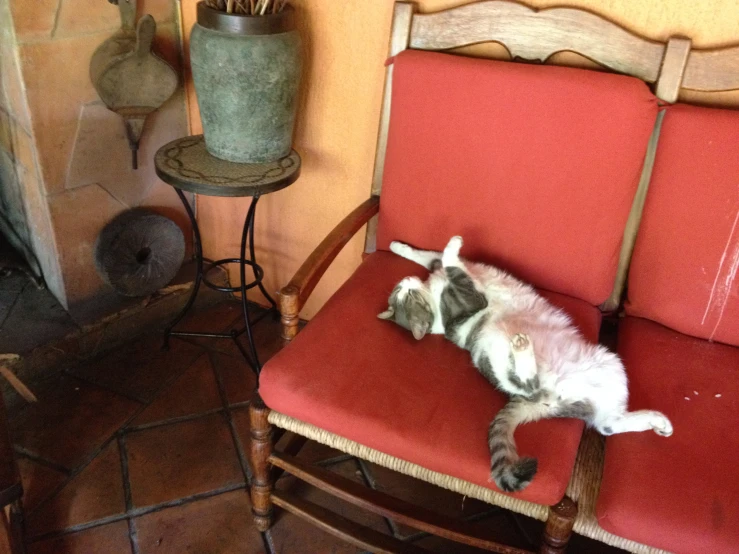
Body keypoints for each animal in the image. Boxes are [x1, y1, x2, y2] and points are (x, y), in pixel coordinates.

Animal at [378, 235, 672, 490]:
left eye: (403, 293)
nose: (405, 281)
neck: (436, 308)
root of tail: (551, 399)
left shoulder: (440, 268)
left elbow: (427, 255)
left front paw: (397, 246)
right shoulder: (470, 296)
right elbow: (451, 261)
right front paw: (453, 244)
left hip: (611, 368)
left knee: (609, 424)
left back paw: (659, 423)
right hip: (497, 353)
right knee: (531, 385)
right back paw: (523, 348)